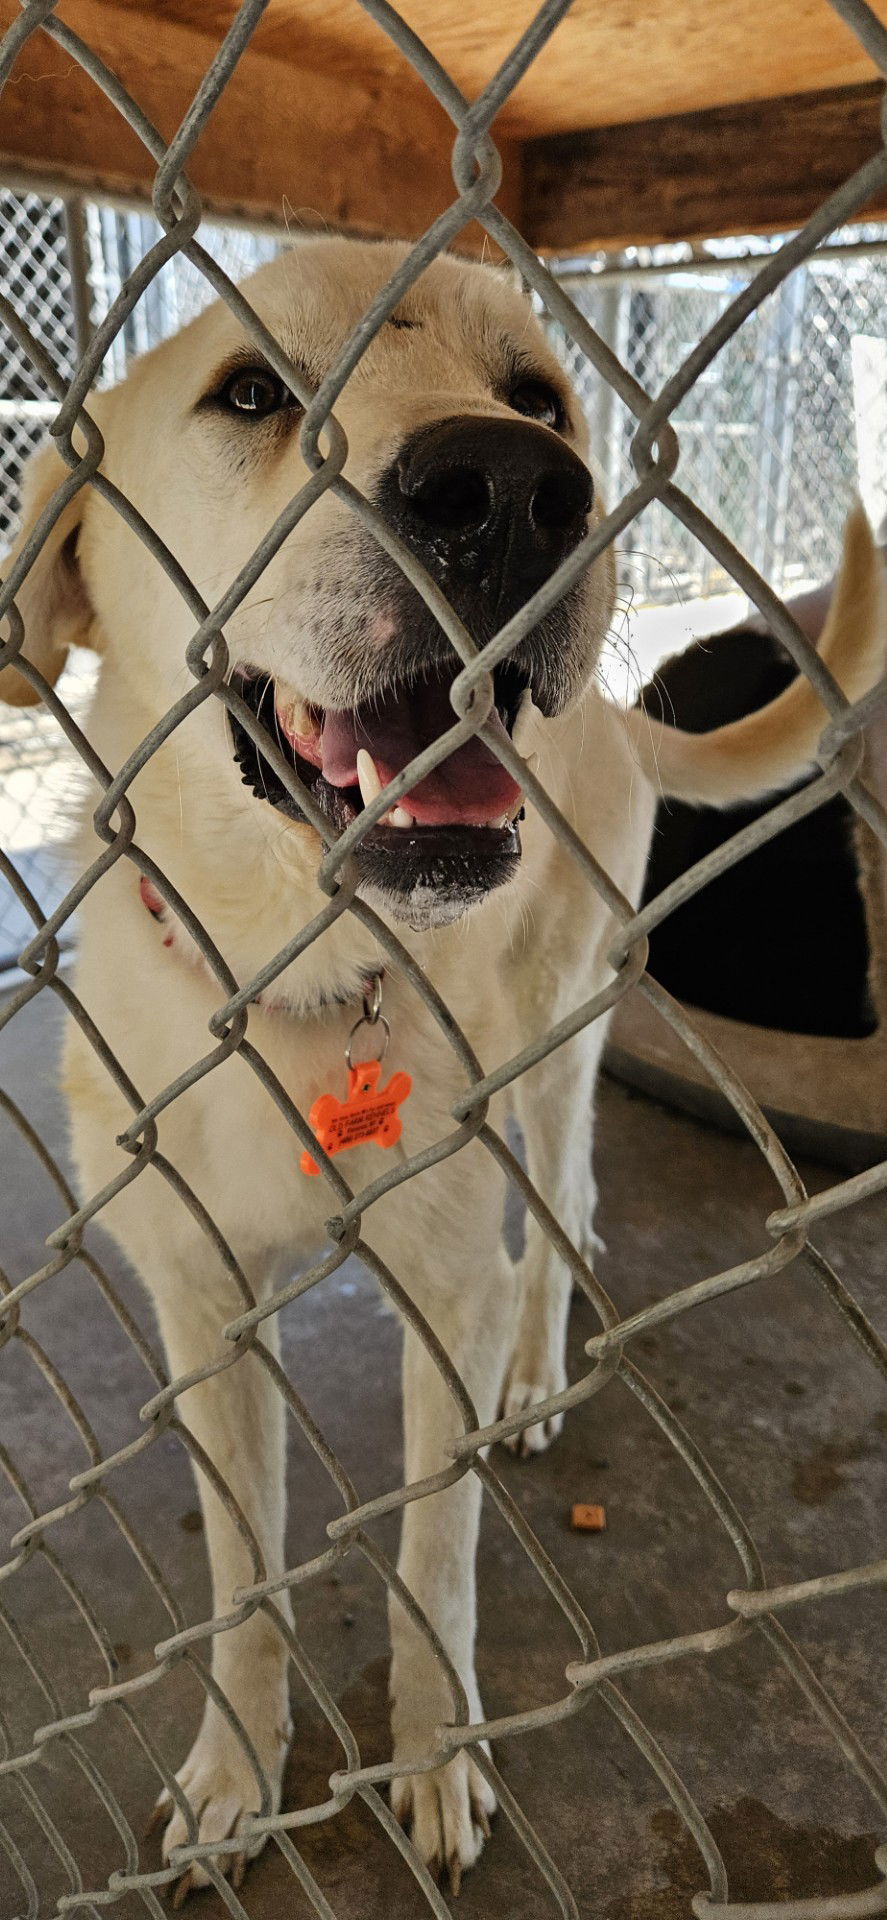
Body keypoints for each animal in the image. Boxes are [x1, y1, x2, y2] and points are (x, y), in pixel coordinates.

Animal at [3, 236, 883, 1889]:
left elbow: (432, 1554)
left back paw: (533, 1369)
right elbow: (241, 1579)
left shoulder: (436, 1282)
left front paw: (429, 1758)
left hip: (544, 1051)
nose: (514, 489)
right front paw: (232, 1770)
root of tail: (614, 716)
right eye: (248, 393)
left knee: (554, 1212)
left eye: (533, 393)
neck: (291, 976)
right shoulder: (201, 1306)